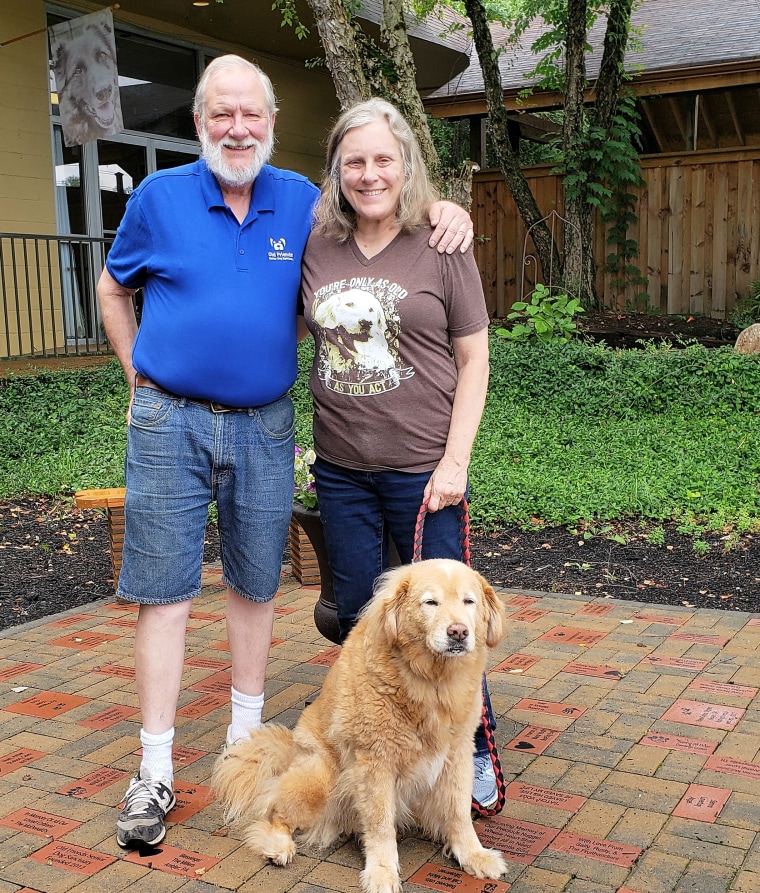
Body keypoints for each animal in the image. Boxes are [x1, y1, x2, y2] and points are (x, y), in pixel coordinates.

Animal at [214, 556, 508, 892]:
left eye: (468, 601)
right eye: (430, 602)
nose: (458, 632)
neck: (430, 682)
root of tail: (290, 752)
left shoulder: (457, 754)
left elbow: (458, 813)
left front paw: (473, 855)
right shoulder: (374, 764)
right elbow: (380, 826)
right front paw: (382, 872)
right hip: (320, 779)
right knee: (274, 812)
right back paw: (278, 846)